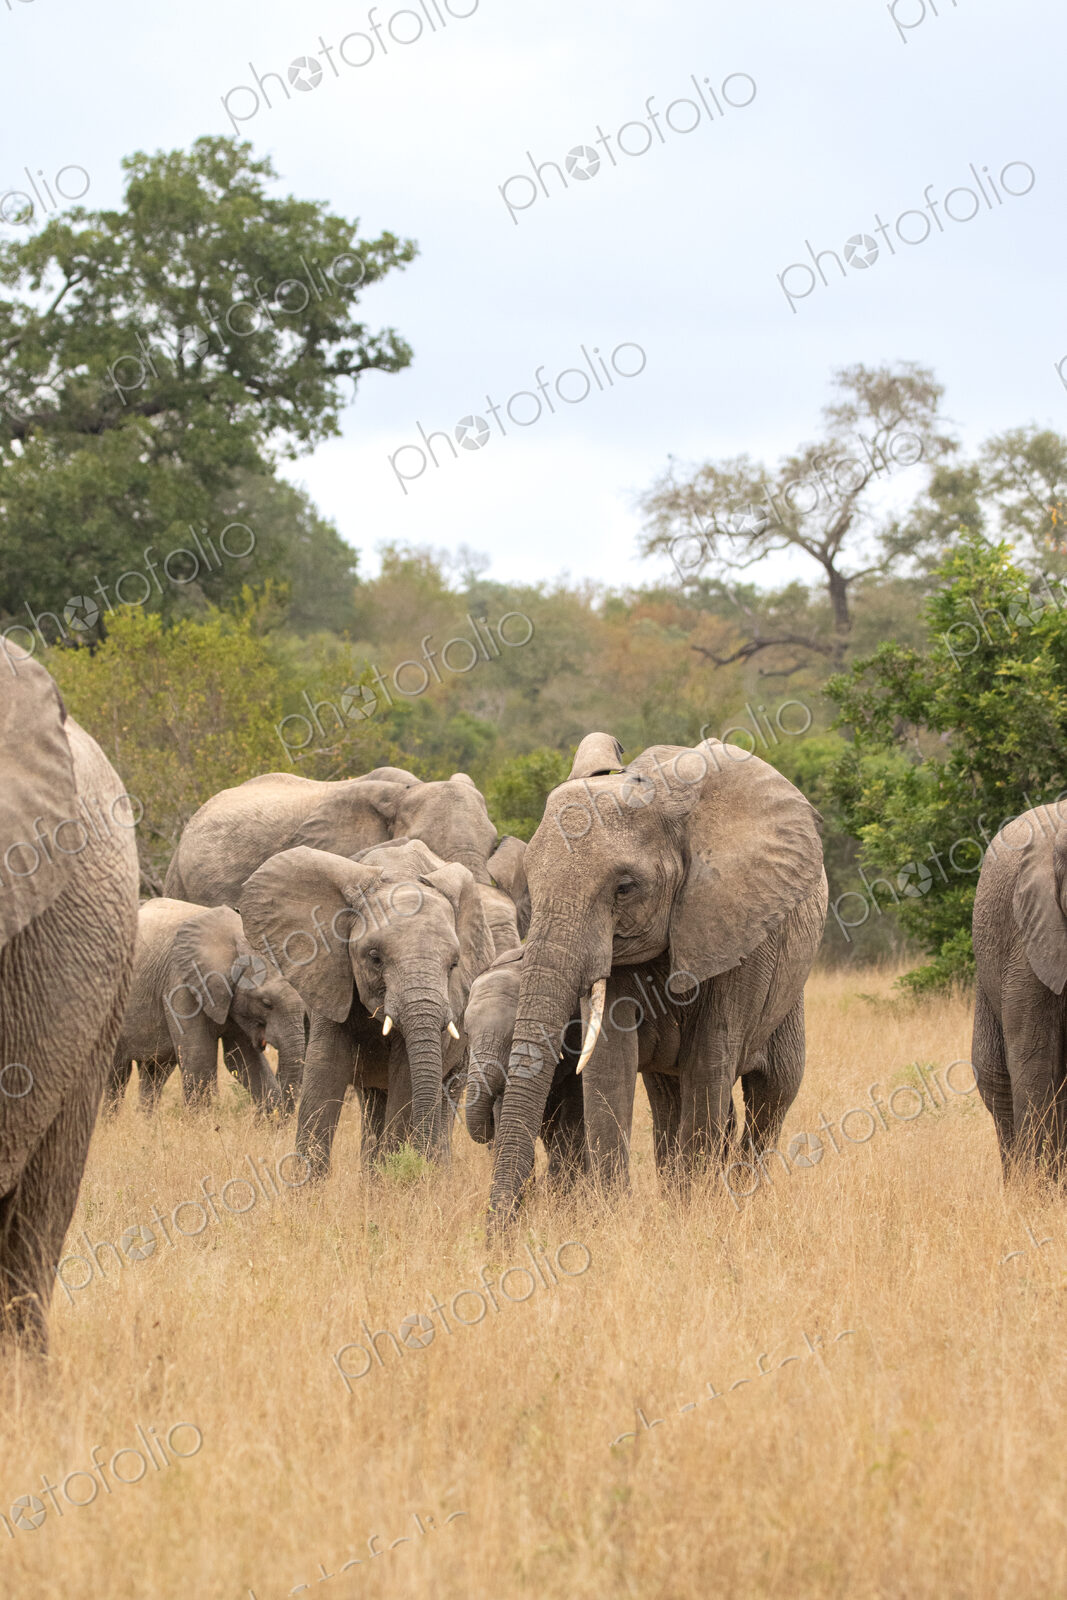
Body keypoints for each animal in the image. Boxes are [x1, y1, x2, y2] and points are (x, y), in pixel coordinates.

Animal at [105, 900, 307, 1115]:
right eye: (266, 1004)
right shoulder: (182, 984)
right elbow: (199, 1060)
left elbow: (242, 1058)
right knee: (117, 1074)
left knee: (155, 1072)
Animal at [239, 837, 496, 1174]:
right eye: (374, 958)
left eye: (454, 964)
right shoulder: (330, 974)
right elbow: (324, 1072)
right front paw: (306, 1185)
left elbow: (406, 1082)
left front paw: (396, 1179)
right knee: (374, 1101)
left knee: (443, 1096)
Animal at [463, 946, 683, 1187]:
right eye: (466, 1034)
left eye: (513, 1037)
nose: (489, 1128)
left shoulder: (579, 1040)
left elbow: (575, 1114)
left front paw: (556, 1191)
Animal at [487, 733, 827, 1227]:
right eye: (530, 881)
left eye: (625, 888)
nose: (499, 1232)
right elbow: (608, 1065)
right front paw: (614, 1220)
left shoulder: (737, 926)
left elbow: (711, 1061)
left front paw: (695, 1216)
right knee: (671, 1099)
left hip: (789, 981)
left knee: (773, 1091)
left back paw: (745, 1196)